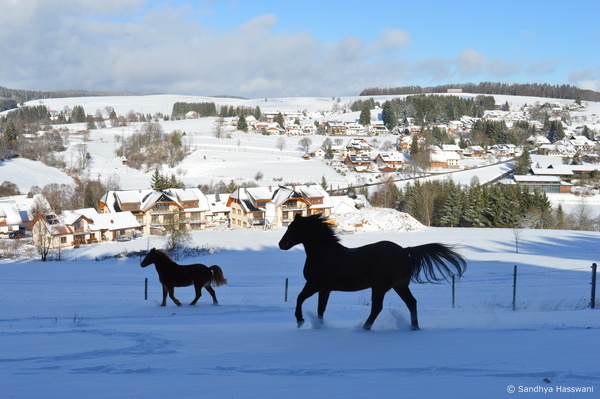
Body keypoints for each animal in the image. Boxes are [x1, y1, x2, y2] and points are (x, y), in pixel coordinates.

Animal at [278, 216, 466, 332]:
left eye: (292, 228)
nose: (281, 244)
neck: (323, 253)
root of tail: (404, 251)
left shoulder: (314, 284)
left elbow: (299, 299)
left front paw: (300, 321)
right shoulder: (325, 289)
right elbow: (320, 309)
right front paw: (319, 326)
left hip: (379, 287)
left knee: (377, 307)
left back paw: (364, 328)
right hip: (399, 286)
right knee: (411, 303)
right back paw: (414, 328)